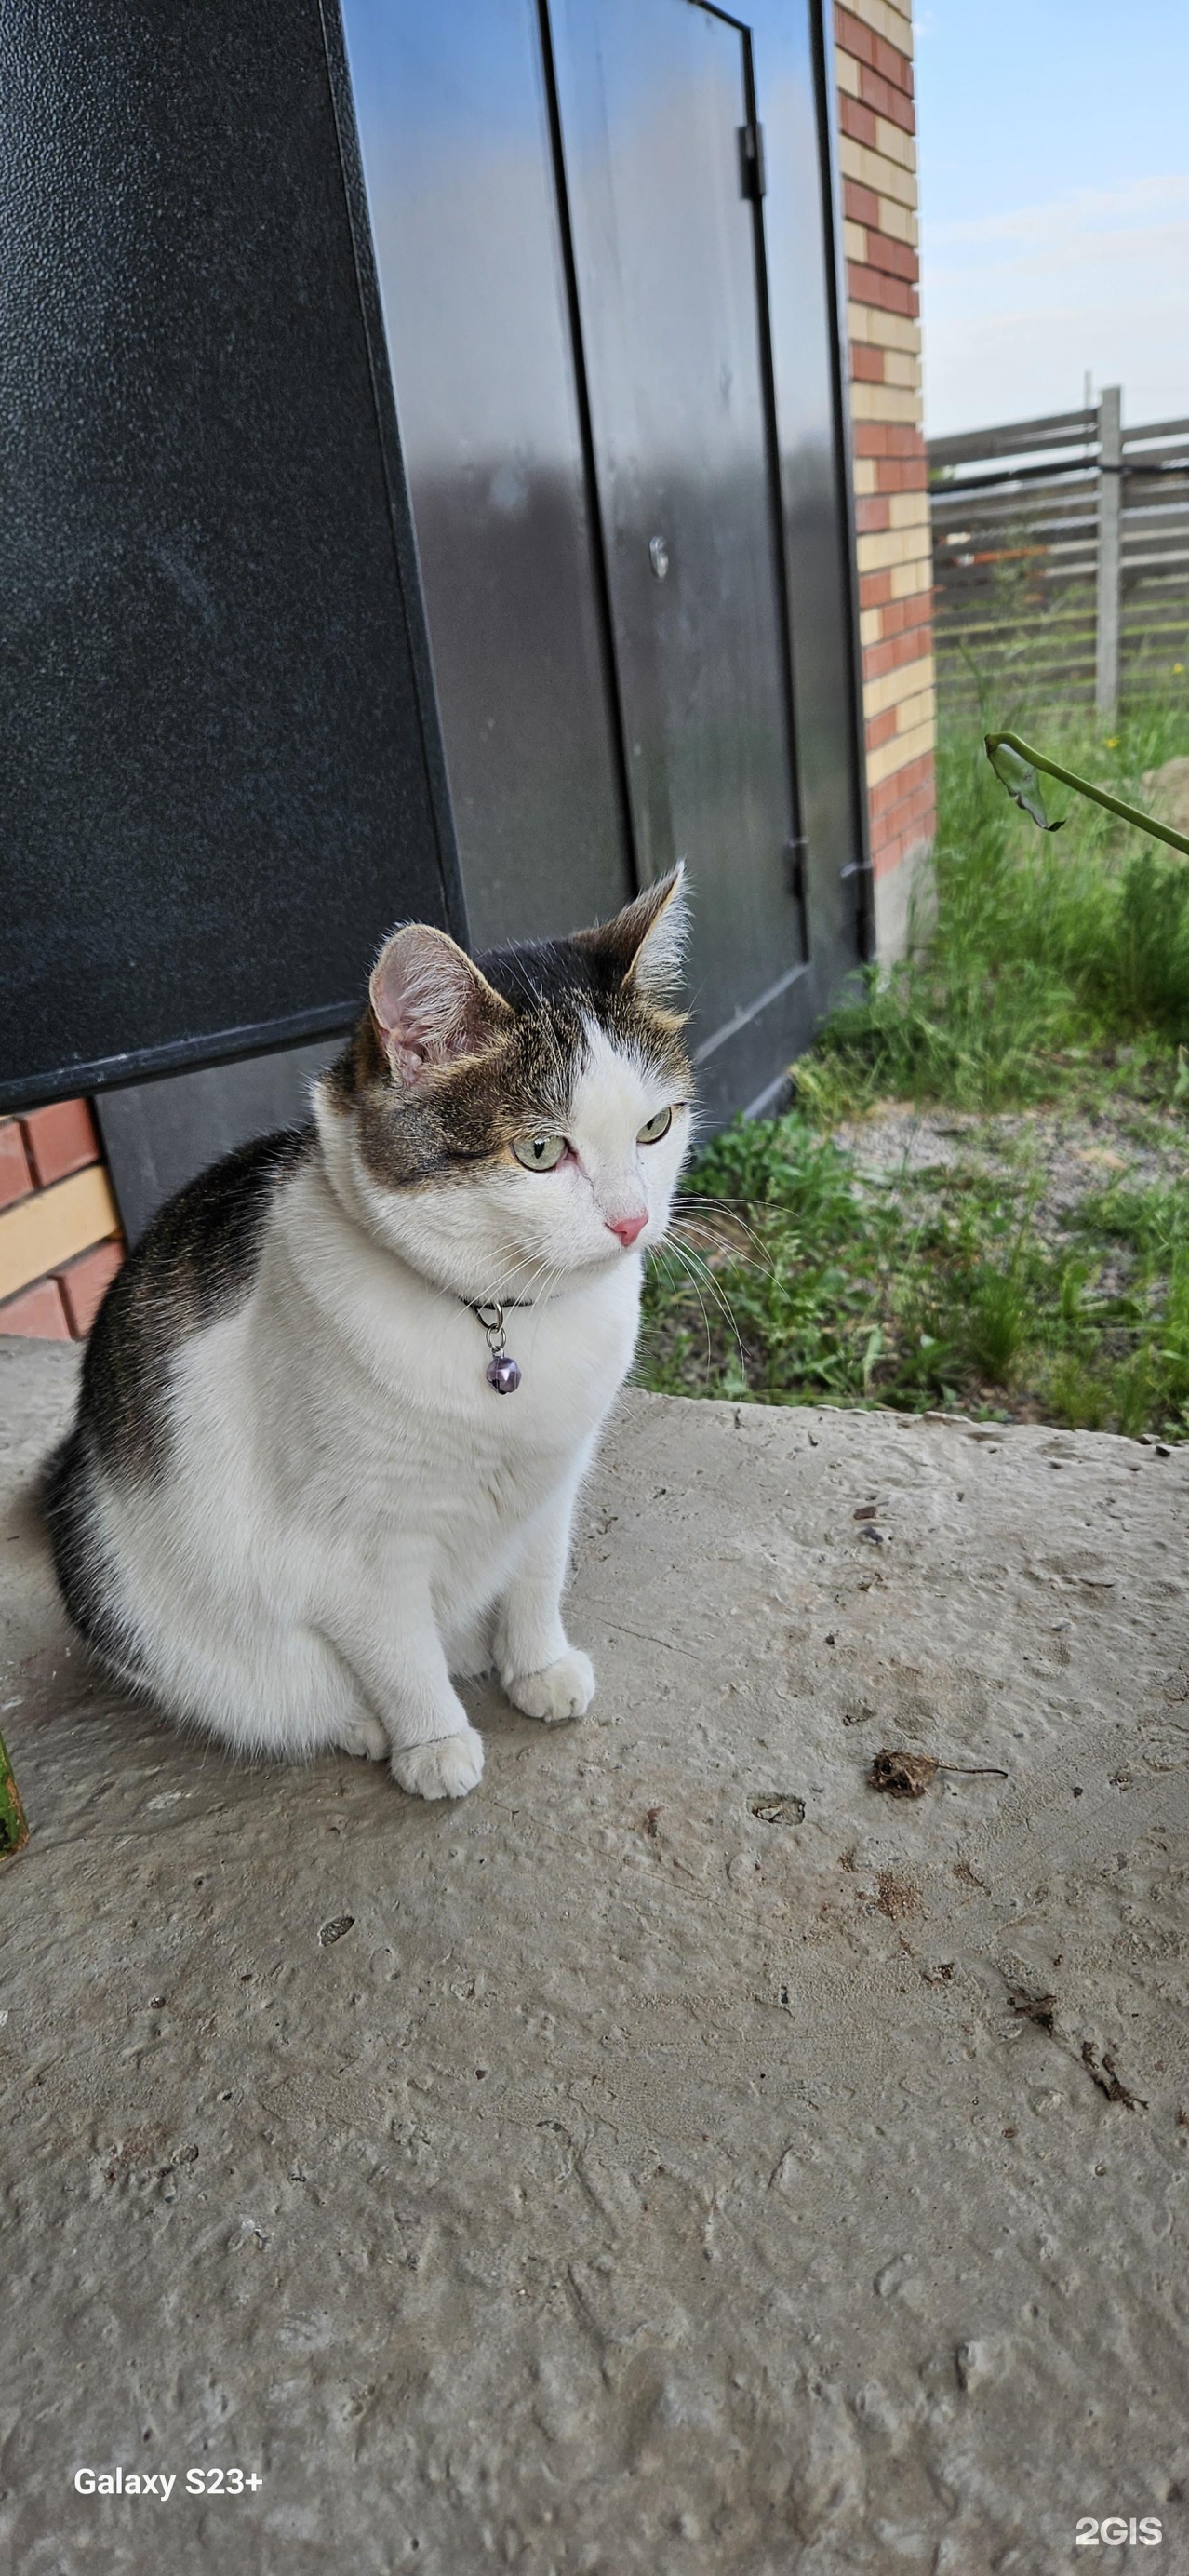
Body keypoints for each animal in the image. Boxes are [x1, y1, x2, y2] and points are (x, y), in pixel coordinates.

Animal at [44, 865, 694, 1792]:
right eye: (539, 1152)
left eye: (655, 1127)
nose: (634, 1221)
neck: (502, 1318)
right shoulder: (355, 1552)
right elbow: (398, 1654)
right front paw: (433, 1744)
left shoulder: (551, 1487)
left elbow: (536, 1580)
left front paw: (536, 1667)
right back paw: (366, 1726)